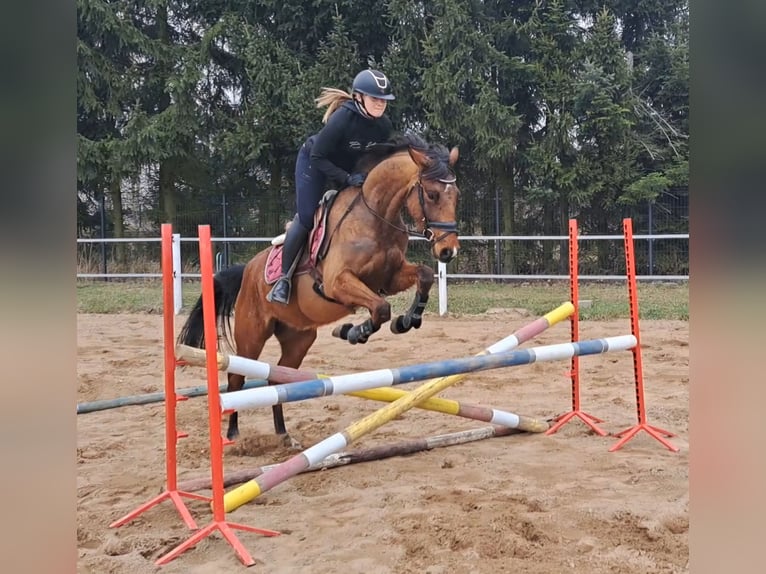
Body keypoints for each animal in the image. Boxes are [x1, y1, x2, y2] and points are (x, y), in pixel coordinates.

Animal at [178, 134, 462, 446]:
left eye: (456, 194)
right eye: (432, 195)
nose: (448, 251)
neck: (375, 217)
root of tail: (248, 270)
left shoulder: (390, 277)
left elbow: (424, 276)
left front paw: (408, 320)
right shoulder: (338, 283)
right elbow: (380, 308)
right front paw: (354, 331)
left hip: (299, 338)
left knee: (277, 380)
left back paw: (284, 434)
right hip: (251, 333)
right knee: (236, 379)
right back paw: (233, 434)